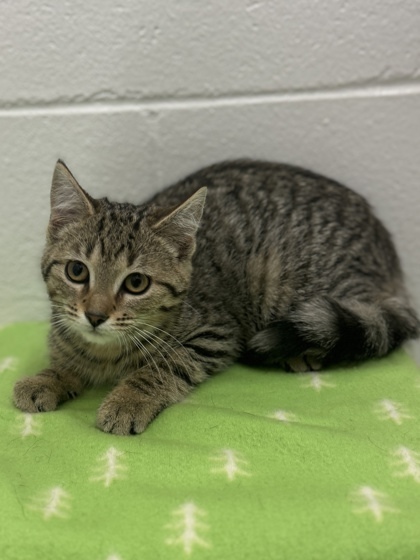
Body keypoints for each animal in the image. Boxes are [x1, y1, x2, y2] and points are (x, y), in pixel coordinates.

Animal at [13, 158, 420, 434]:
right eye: (77, 271)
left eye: (136, 283)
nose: (96, 315)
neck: (106, 353)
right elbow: (67, 357)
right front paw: (48, 377)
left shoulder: (216, 333)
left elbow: (165, 365)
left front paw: (128, 398)